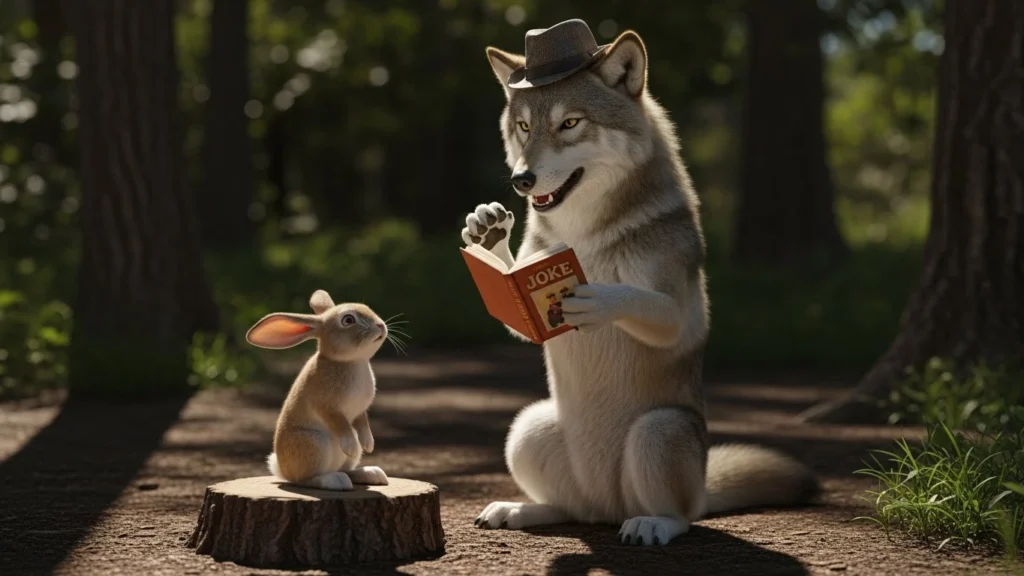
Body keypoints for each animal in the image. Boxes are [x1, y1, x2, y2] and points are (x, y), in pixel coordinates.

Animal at [460, 25, 820, 546]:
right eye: (524, 127)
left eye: (570, 123)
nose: (521, 180)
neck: (583, 236)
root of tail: (611, 507)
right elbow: (516, 286)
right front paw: (487, 233)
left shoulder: (679, 310)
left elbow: (633, 297)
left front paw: (592, 299)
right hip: (527, 426)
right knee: (572, 510)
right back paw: (521, 509)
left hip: (659, 429)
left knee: (681, 517)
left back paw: (651, 524)